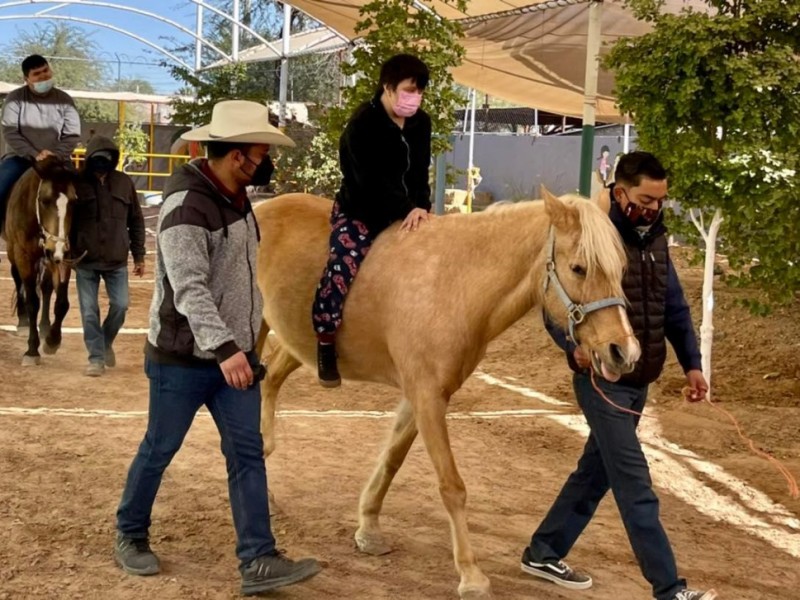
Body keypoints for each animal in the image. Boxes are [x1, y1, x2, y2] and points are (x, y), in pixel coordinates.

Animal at [1, 157, 81, 366]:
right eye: (44, 201)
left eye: (73, 202)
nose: (56, 248)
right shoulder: (23, 256)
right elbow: (32, 302)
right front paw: (31, 350)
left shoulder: (63, 257)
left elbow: (61, 302)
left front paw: (52, 340)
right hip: (14, 251)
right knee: (17, 279)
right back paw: (22, 322)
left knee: (45, 287)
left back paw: (45, 327)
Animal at [253, 189, 640, 600]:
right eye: (579, 268)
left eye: (620, 268)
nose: (624, 351)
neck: (454, 283)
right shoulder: (427, 396)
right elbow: (452, 486)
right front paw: (471, 575)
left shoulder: (424, 395)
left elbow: (391, 460)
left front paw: (369, 529)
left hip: (297, 347)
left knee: (270, 379)